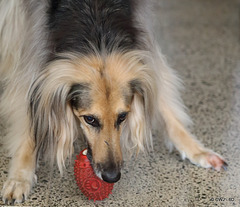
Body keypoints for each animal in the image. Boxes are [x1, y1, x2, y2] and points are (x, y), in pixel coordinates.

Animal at [0, 0, 227, 204]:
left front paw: (195, 149)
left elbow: (163, 100)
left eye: (123, 117)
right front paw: (20, 175)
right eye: (90, 119)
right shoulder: (32, 43)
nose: (111, 177)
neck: (95, 18)